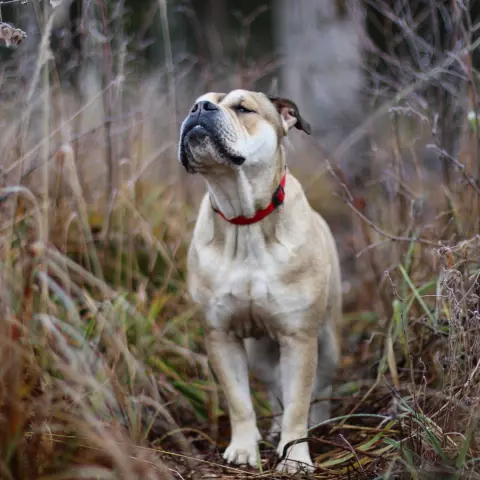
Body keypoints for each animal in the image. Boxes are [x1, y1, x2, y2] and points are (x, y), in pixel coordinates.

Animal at [177, 90, 342, 472]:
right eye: (197, 103)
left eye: (243, 108)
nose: (200, 109)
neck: (245, 220)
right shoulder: (222, 336)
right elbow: (240, 400)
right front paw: (242, 449)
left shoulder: (299, 338)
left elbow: (299, 403)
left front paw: (295, 458)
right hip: (261, 354)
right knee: (275, 389)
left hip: (327, 344)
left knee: (320, 389)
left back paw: (320, 423)